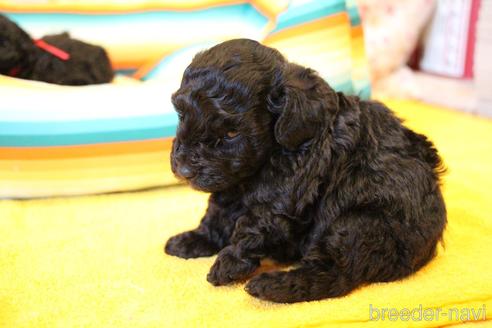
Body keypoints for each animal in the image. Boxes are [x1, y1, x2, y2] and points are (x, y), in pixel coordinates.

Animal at [164, 39, 446, 304]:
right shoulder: (231, 184)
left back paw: (270, 286)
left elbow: (253, 224)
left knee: (334, 274)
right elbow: (217, 214)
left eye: (232, 133)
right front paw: (193, 240)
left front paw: (228, 262)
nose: (184, 169)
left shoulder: (285, 192)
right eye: (181, 115)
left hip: (357, 223)